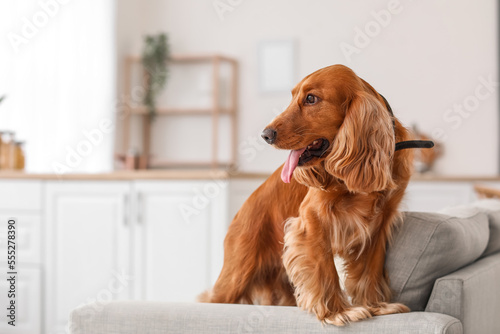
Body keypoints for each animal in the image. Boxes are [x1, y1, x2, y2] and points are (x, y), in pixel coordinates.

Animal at [199, 64, 414, 324]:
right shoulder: (312, 218)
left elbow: (370, 268)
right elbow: (325, 266)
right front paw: (338, 311)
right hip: (237, 273)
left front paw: (375, 305)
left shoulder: (379, 223)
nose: (266, 135)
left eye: (311, 99)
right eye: (292, 97)